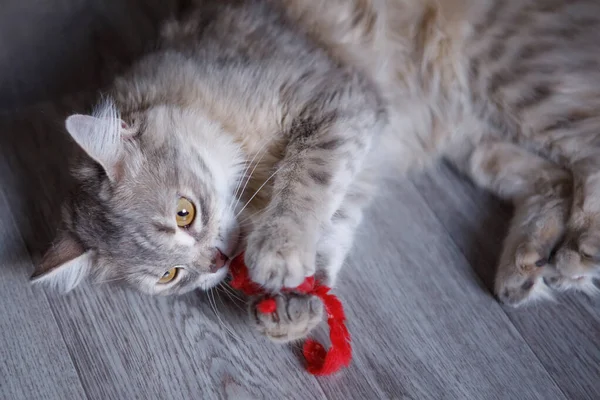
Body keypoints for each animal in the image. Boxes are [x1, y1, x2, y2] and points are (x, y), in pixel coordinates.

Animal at [30, 0, 600, 344]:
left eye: (185, 213)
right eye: (170, 276)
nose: (217, 261)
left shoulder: (338, 104)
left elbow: (304, 181)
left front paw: (277, 253)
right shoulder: (359, 154)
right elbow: (332, 225)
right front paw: (296, 303)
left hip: (514, 78)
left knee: (587, 155)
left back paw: (578, 254)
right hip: (478, 137)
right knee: (552, 180)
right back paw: (524, 265)